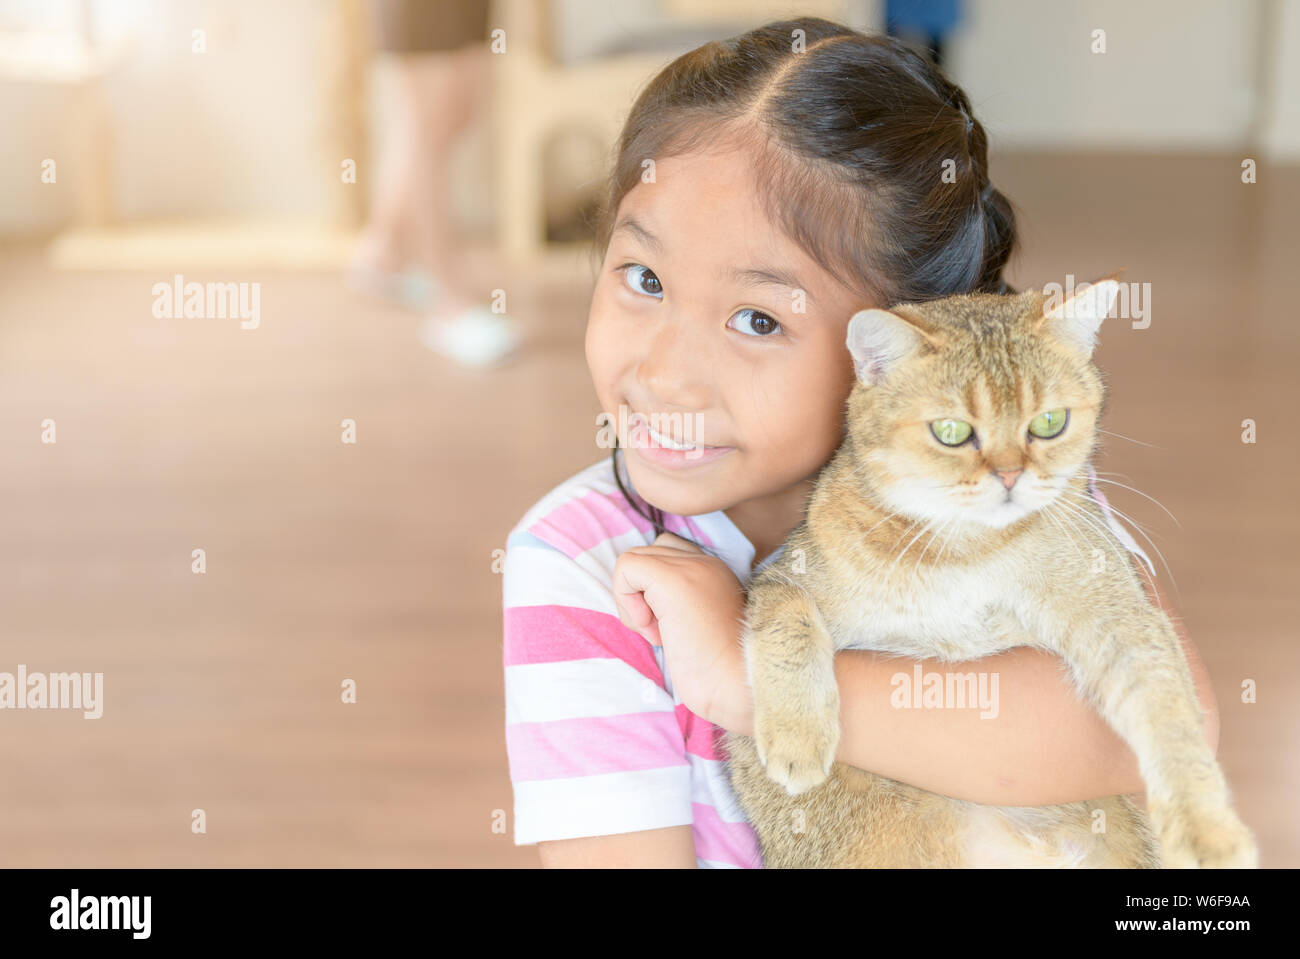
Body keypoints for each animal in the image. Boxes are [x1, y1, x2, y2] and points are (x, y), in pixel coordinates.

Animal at [728, 276, 1253, 868]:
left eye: (1049, 423)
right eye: (952, 432)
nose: (1009, 476)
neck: (969, 548)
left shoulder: (1120, 616)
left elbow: (1169, 714)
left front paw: (1206, 827)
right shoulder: (783, 577)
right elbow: (790, 620)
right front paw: (797, 736)